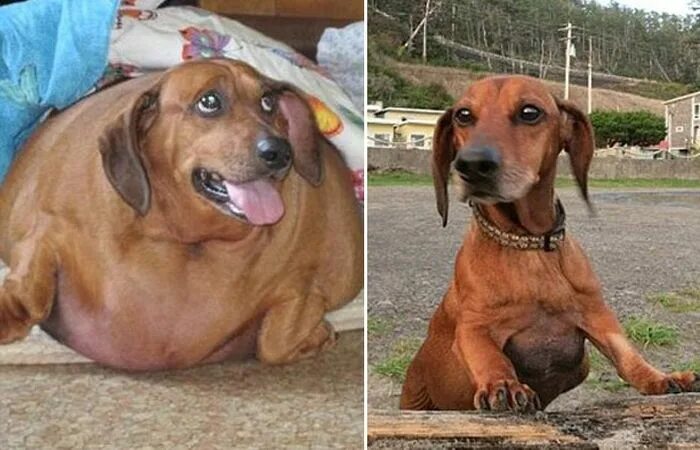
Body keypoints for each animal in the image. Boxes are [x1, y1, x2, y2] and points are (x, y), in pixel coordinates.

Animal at [0, 58, 364, 370]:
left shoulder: (300, 284)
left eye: (267, 102)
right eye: (209, 101)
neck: (187, 241)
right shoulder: (48, 229)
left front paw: (316, 332)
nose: (280, 152)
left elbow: (274, 340)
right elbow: (31, 291)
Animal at [402, 74, 696, 412]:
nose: (472, 165)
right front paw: (503, 384)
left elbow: (627, 355)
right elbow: (490, 356)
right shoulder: (472, 327)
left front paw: (661, 378)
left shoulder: (597, 314)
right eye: (463, 115)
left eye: (530, 112)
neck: (528, 245)